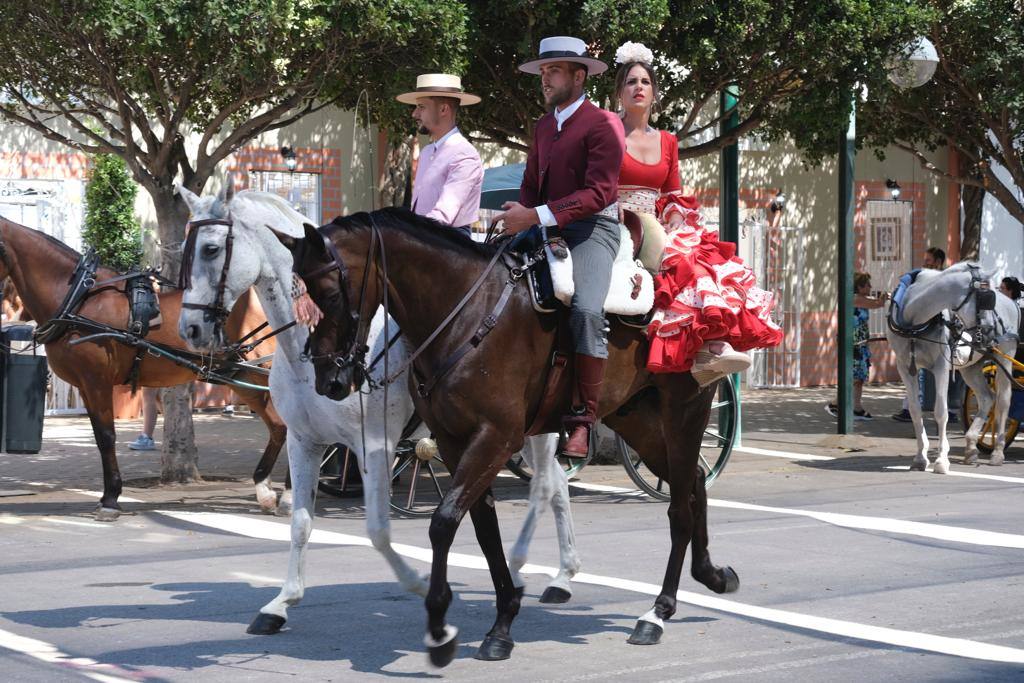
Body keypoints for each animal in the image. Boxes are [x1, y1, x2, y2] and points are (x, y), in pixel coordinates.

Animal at [0, 216, 286, 520]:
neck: (79, 299)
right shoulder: (86, 386)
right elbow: (100, 437)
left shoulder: (97, 382)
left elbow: (106, 436)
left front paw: (111, 499)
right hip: (242, 375)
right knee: (279, 427)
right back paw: (267, 491)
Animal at [176, 188, 585, 634]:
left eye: (211, 249)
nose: (190, 328)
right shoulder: (304, 441)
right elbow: (301, 523)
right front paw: (281, 603)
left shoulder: (374, 444)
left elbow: (377, 528)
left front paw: (420, 582)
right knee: (557, 485)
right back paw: (561, 577)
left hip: (531, 428)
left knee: (546, 485)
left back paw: (534, 568)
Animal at [284, 209, 741, 667]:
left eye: (330, 294)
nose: (328, 380)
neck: (465, 312)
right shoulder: (454, 442)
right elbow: (484, 529)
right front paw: (503, 621)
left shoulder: (496, 437)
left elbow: (444, 523)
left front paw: (440, 630)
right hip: (636, 419)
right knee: (693, 483)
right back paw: (712, 574)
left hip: (684, 412)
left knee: (679, 507)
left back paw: (657, 613)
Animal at [884, 264, 1019, 473]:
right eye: (986, 297)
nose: (991, 332)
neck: (914, 322)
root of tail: (1012, 303)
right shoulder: (904, 366)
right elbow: (915, 410)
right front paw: (920, 457)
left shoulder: (940, 365)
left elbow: (941, 411)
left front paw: (941, 460)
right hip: (971, 366)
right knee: (987, 398)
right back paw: (971, 446)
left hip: (1005, 357)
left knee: (1003, 401)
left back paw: (997, 452)